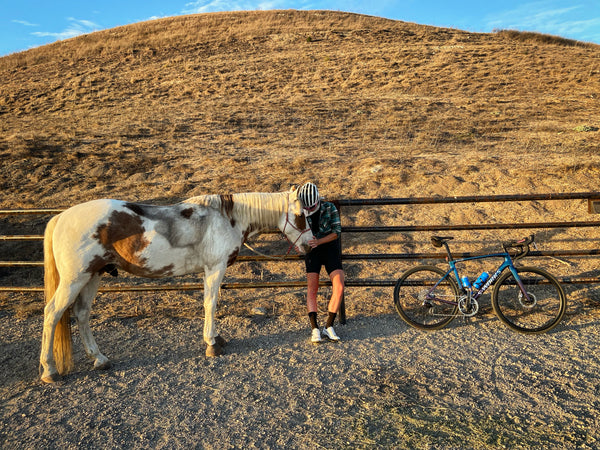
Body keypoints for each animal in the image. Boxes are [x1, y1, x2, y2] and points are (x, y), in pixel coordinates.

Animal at [39, 187, 312, 384]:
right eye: (301, 217)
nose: (310, 245)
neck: (226, 219)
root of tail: (61, 217)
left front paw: (215, 338)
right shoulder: (215, 268)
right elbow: (211, 304)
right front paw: (211, 344)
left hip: (93, 276)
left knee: (82, 314)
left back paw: (99, 358)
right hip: (75, 279)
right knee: (52, 313)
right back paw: (49, 370)